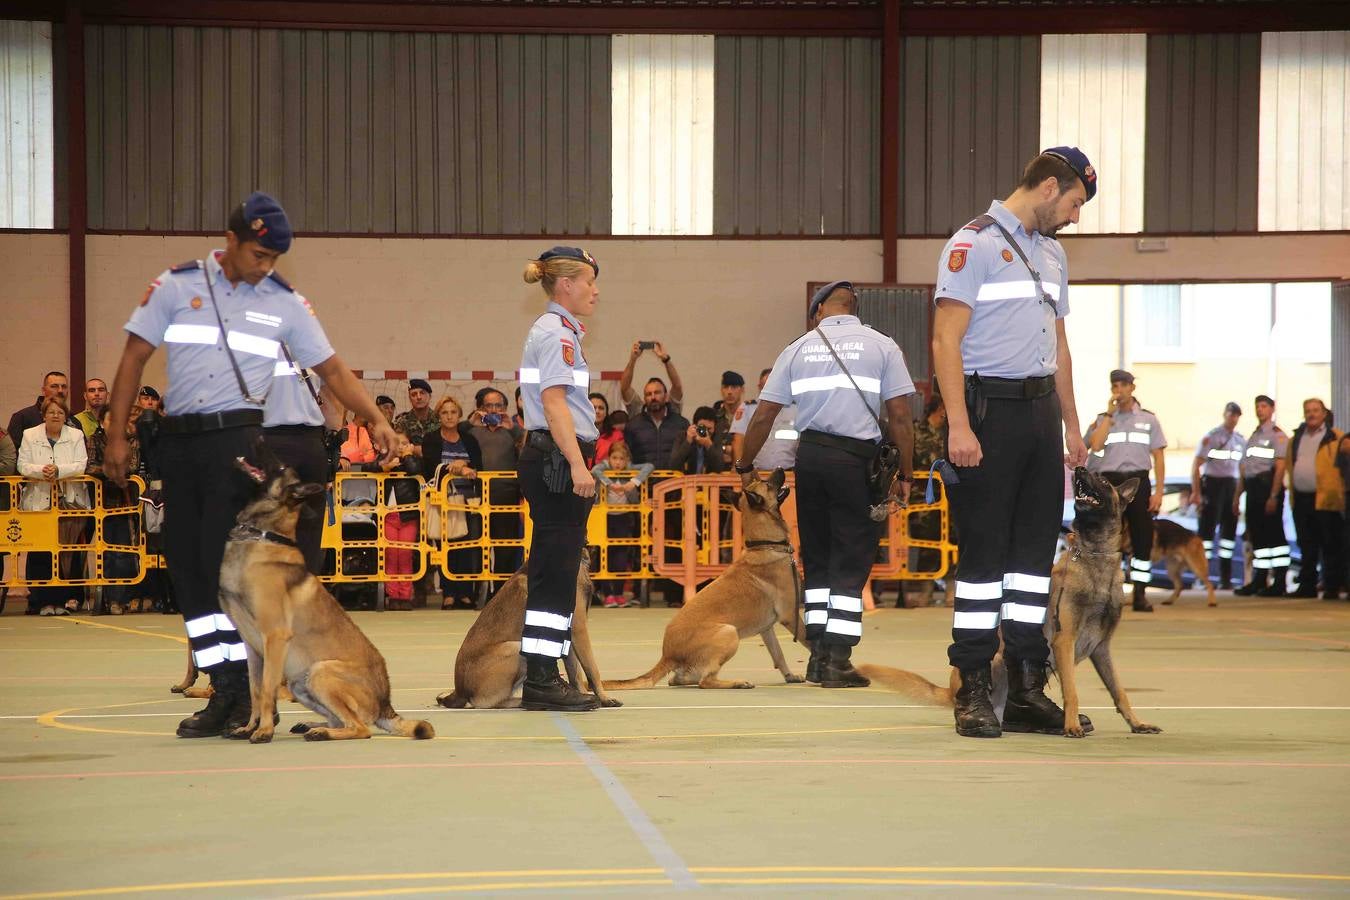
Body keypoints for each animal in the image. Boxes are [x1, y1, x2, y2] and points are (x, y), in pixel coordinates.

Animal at [220, 442, 432, 744]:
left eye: (280, 467)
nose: (258, 438)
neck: (262, 535)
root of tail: (385, 704)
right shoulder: (252, 647)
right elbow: (256, 690)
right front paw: (250, 726)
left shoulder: (274, 638)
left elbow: (267, 690)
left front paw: (264, 730)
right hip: (301, 683)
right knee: (341, 720)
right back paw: (313, 726)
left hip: (320, 672)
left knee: (360, 728)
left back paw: (321, 732)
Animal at [434, 555, 618, 712]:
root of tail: (459, 690)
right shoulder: (579, 628)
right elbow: (592, 668)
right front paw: (604, 698)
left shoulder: (569, 632)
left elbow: (576, 673)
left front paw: (582, 695)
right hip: (516, 648)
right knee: (488, 702)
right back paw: (522, 701)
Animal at [604, 472, 810, 690]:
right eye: (767, 484)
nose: (780, 468)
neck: (765, 545)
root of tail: (668, 654)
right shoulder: (790, 616)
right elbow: (810, 641)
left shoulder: (767, 629)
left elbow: (778, 654)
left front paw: (789, 676)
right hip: (729, 632)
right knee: (706, 681)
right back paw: (737, 682)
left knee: (677, 680)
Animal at [864, 464, 1161, 739]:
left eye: (1103, 480)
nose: (1078, 468)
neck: (1094, 554)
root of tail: (950, 690)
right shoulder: (1064, 641)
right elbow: (1072, 691)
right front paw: (1072, 725)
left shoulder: (1102, 649)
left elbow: (1119, 691)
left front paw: (1137, 723)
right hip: (998, 659)